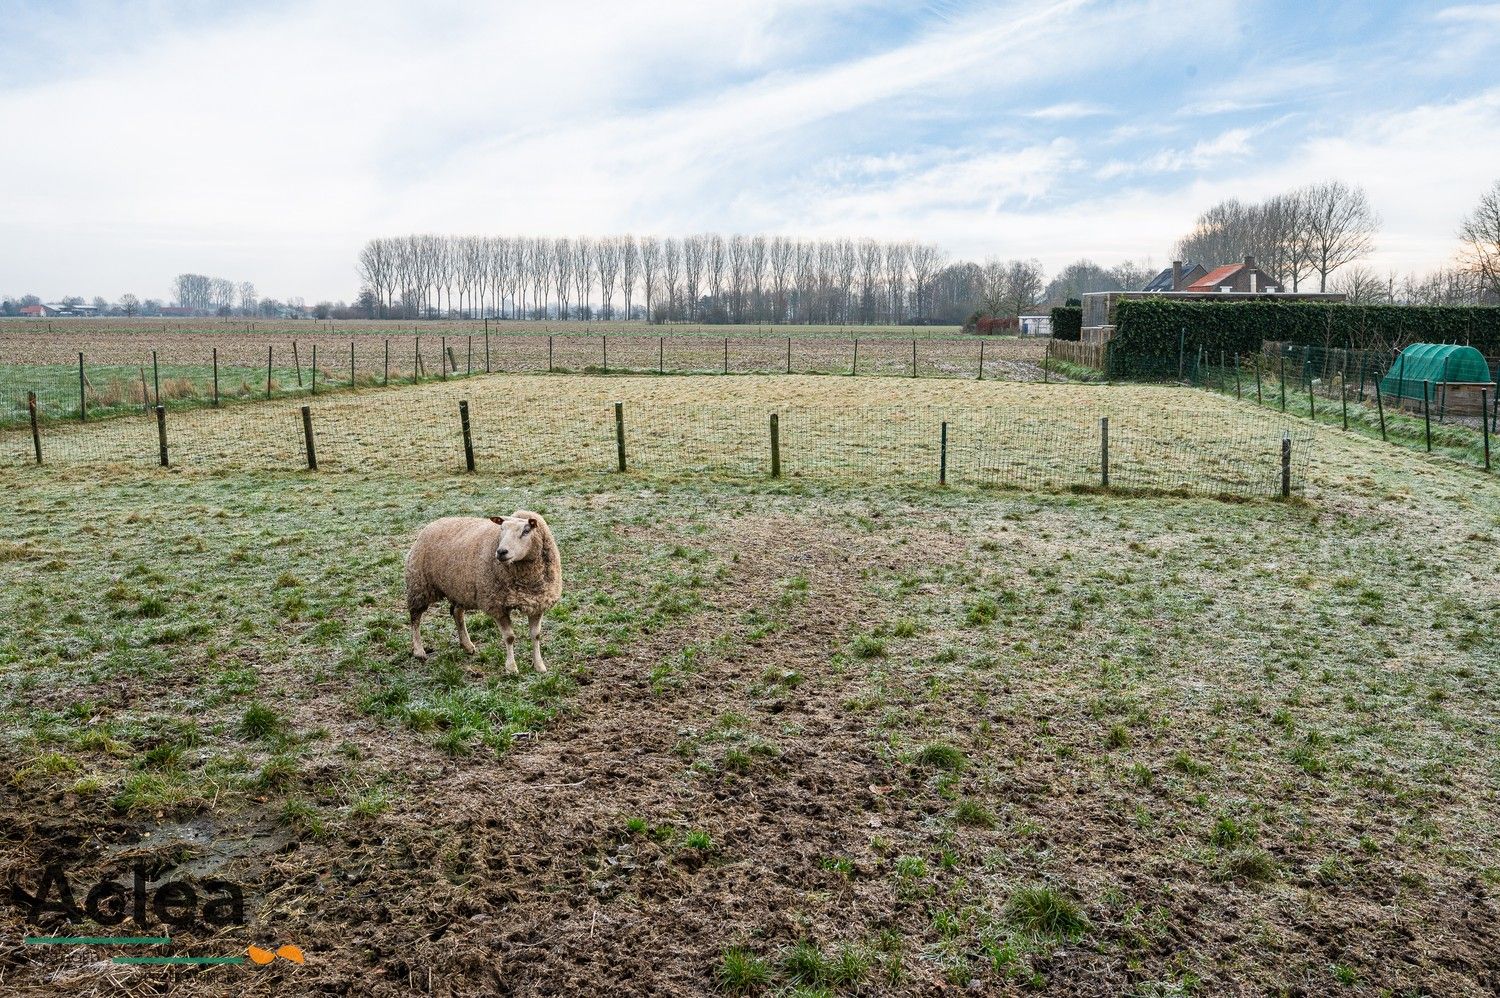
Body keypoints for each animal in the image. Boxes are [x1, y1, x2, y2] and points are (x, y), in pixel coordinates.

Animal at [402, 510, 564, 672]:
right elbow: (509, 637)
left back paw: (467, 645)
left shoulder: (537, 602)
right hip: (419, 585)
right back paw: (419, 651)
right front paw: (511, 668)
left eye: (526, 531)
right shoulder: (497, 605)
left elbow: (536, 635)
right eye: (501, 529)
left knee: (457, 613)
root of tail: (433, 523)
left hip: (460, 589)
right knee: (415, 617)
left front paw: (539, 665)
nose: (501, 552)